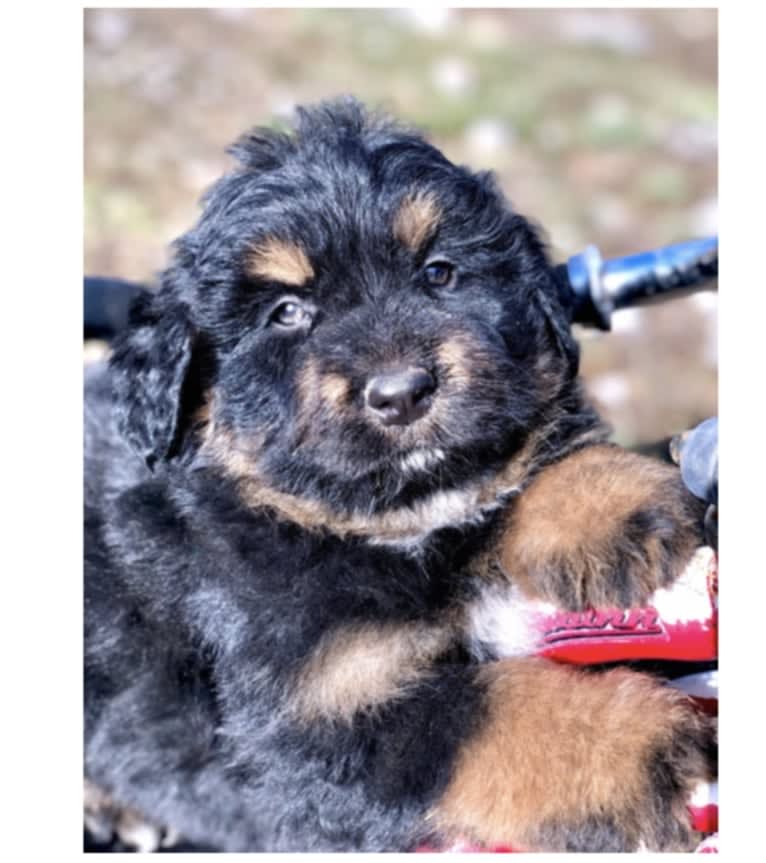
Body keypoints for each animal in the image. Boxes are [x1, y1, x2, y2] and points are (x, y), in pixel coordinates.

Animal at [87, 98, 716, 852]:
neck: (381, 529)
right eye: (287, 312)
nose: (403, 391)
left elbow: (529, 458)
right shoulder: (320, 723)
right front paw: (638, 747)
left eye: (439, 273)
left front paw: (612, 511)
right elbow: (493, 715)